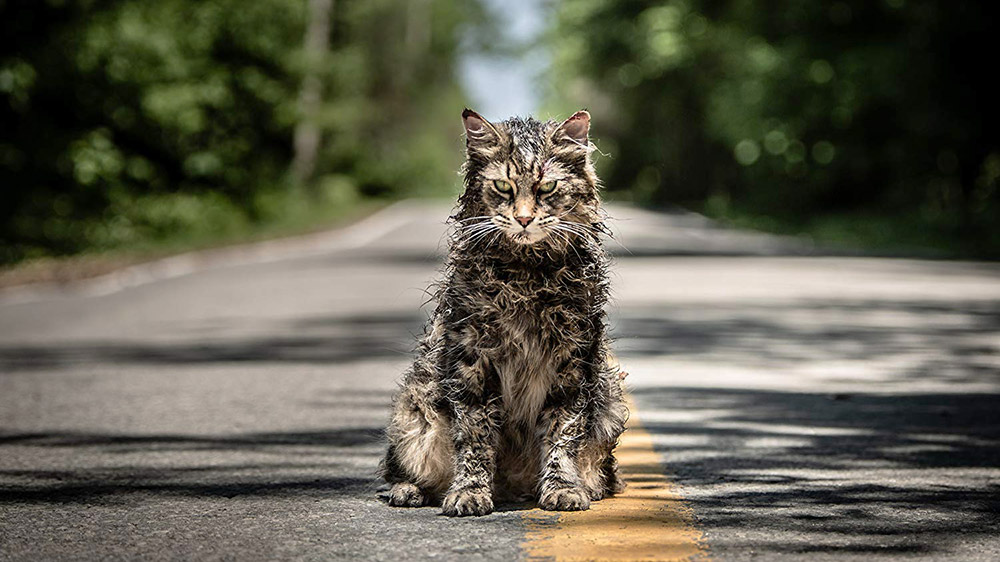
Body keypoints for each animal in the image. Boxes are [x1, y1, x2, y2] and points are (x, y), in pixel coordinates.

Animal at [380, 107, 624, 516]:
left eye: (547, 188)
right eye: (503, 187)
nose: (524, 219)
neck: (526, 275)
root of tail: (512, 488)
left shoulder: (572, 362)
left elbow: (562, 433)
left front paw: (562, 488)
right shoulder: (472, 361)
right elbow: (475, 437)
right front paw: (470, 493)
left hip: (610, 404)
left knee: (600, 474)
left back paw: (582, 487)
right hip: (415, 409)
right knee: (401, 469)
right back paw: (409, 490)